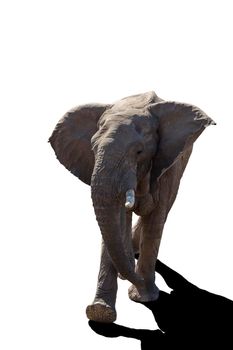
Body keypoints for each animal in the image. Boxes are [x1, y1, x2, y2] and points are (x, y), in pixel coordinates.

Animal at [49, 89, 215, 322]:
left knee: (164, 211)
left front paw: (143, 297)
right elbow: (114, 219)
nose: (140, 282)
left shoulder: (166, 164)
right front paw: (100, 312)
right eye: (93, 149)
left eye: (139, 152)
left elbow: (155, 219)